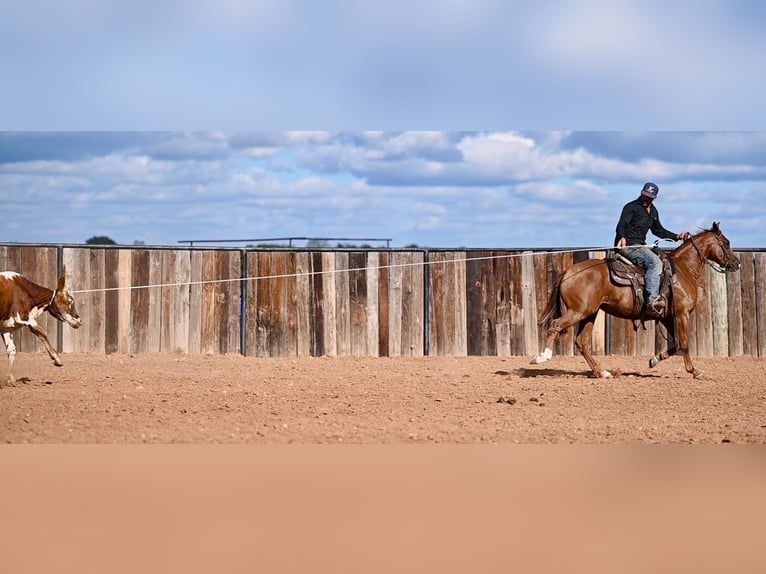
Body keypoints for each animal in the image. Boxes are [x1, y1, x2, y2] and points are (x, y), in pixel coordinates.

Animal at [532, 223, 740, 380]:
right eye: (726, 242)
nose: (736, 263)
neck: (682, 270)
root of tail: (567, 272)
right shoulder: (682, 314)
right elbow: (684, 343)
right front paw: (695, 372)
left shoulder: (667, 316)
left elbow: (675, 344)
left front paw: (654, 360)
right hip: (578, 311)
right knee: (555, 325)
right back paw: (542, 356)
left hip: (590, 313)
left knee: (581, 341)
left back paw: (602, 372)